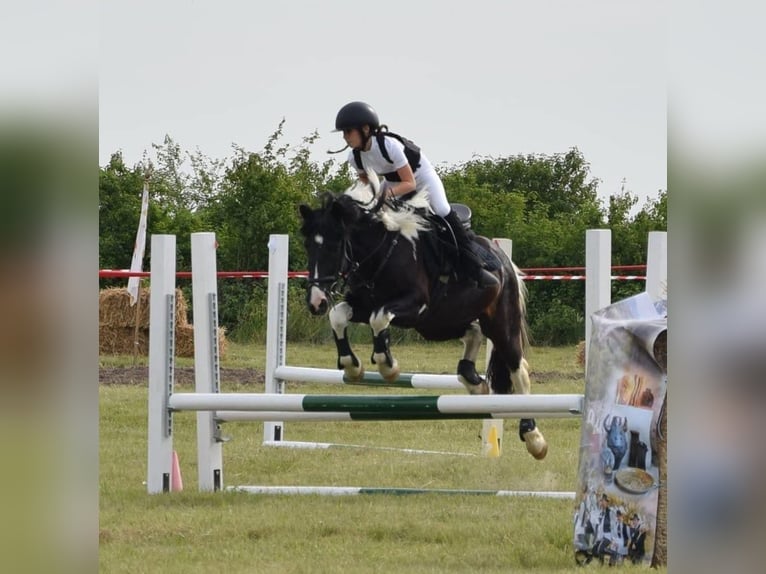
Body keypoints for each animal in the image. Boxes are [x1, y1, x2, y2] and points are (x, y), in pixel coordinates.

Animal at [296, 169, 548, 462]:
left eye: (335, 245)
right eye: (307, 245)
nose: (316, 302)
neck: (382, 250)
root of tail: (505, 261)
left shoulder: (415, 306)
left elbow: (379, 319)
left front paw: (387, 365)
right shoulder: (364, 305)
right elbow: (339, 316)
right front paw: (353, 366)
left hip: (498, 323)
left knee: (518, 369)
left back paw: (534, 437)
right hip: (439, 323)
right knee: (473, 335)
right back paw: (475, 383)